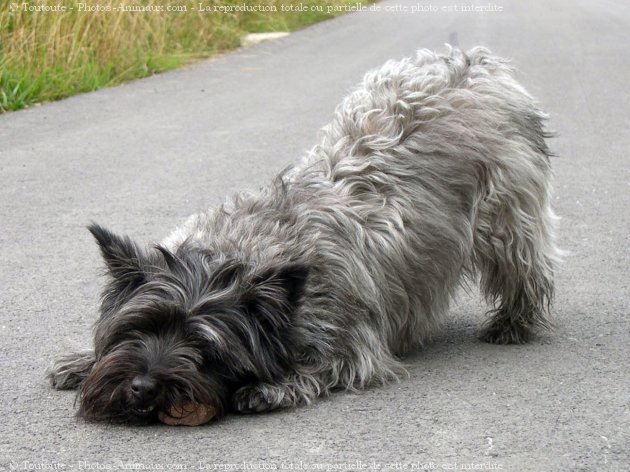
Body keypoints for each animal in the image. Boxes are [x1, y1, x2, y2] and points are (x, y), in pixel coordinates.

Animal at [50, 47, 564, 424]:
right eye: (138, 328)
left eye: (203, 346)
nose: (142, 388)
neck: (243, 251)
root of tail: (474, 60)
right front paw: (82, 360)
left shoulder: (352, 342)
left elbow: (329, 364)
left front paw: (274, 385)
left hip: (506, 217)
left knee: (527, 266)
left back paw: (514, 323)